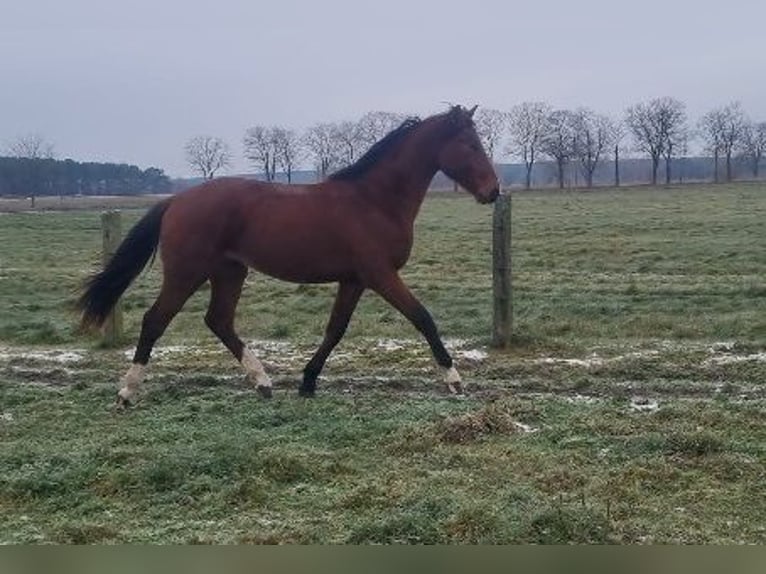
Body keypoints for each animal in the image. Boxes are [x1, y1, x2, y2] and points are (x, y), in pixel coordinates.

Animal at [76, 106, 498, 408]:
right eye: (471, 144)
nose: (493, 191)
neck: (374, 200)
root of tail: (176, 200)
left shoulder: (354, 280)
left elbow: (335, 330)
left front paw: (308, 381)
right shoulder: (380, 275)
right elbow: (422, 318)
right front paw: (454, 380)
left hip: (229, 272)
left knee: (219, 321)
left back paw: (262, 382)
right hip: (186, 273)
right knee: (155, 321)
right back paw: (127, 392)